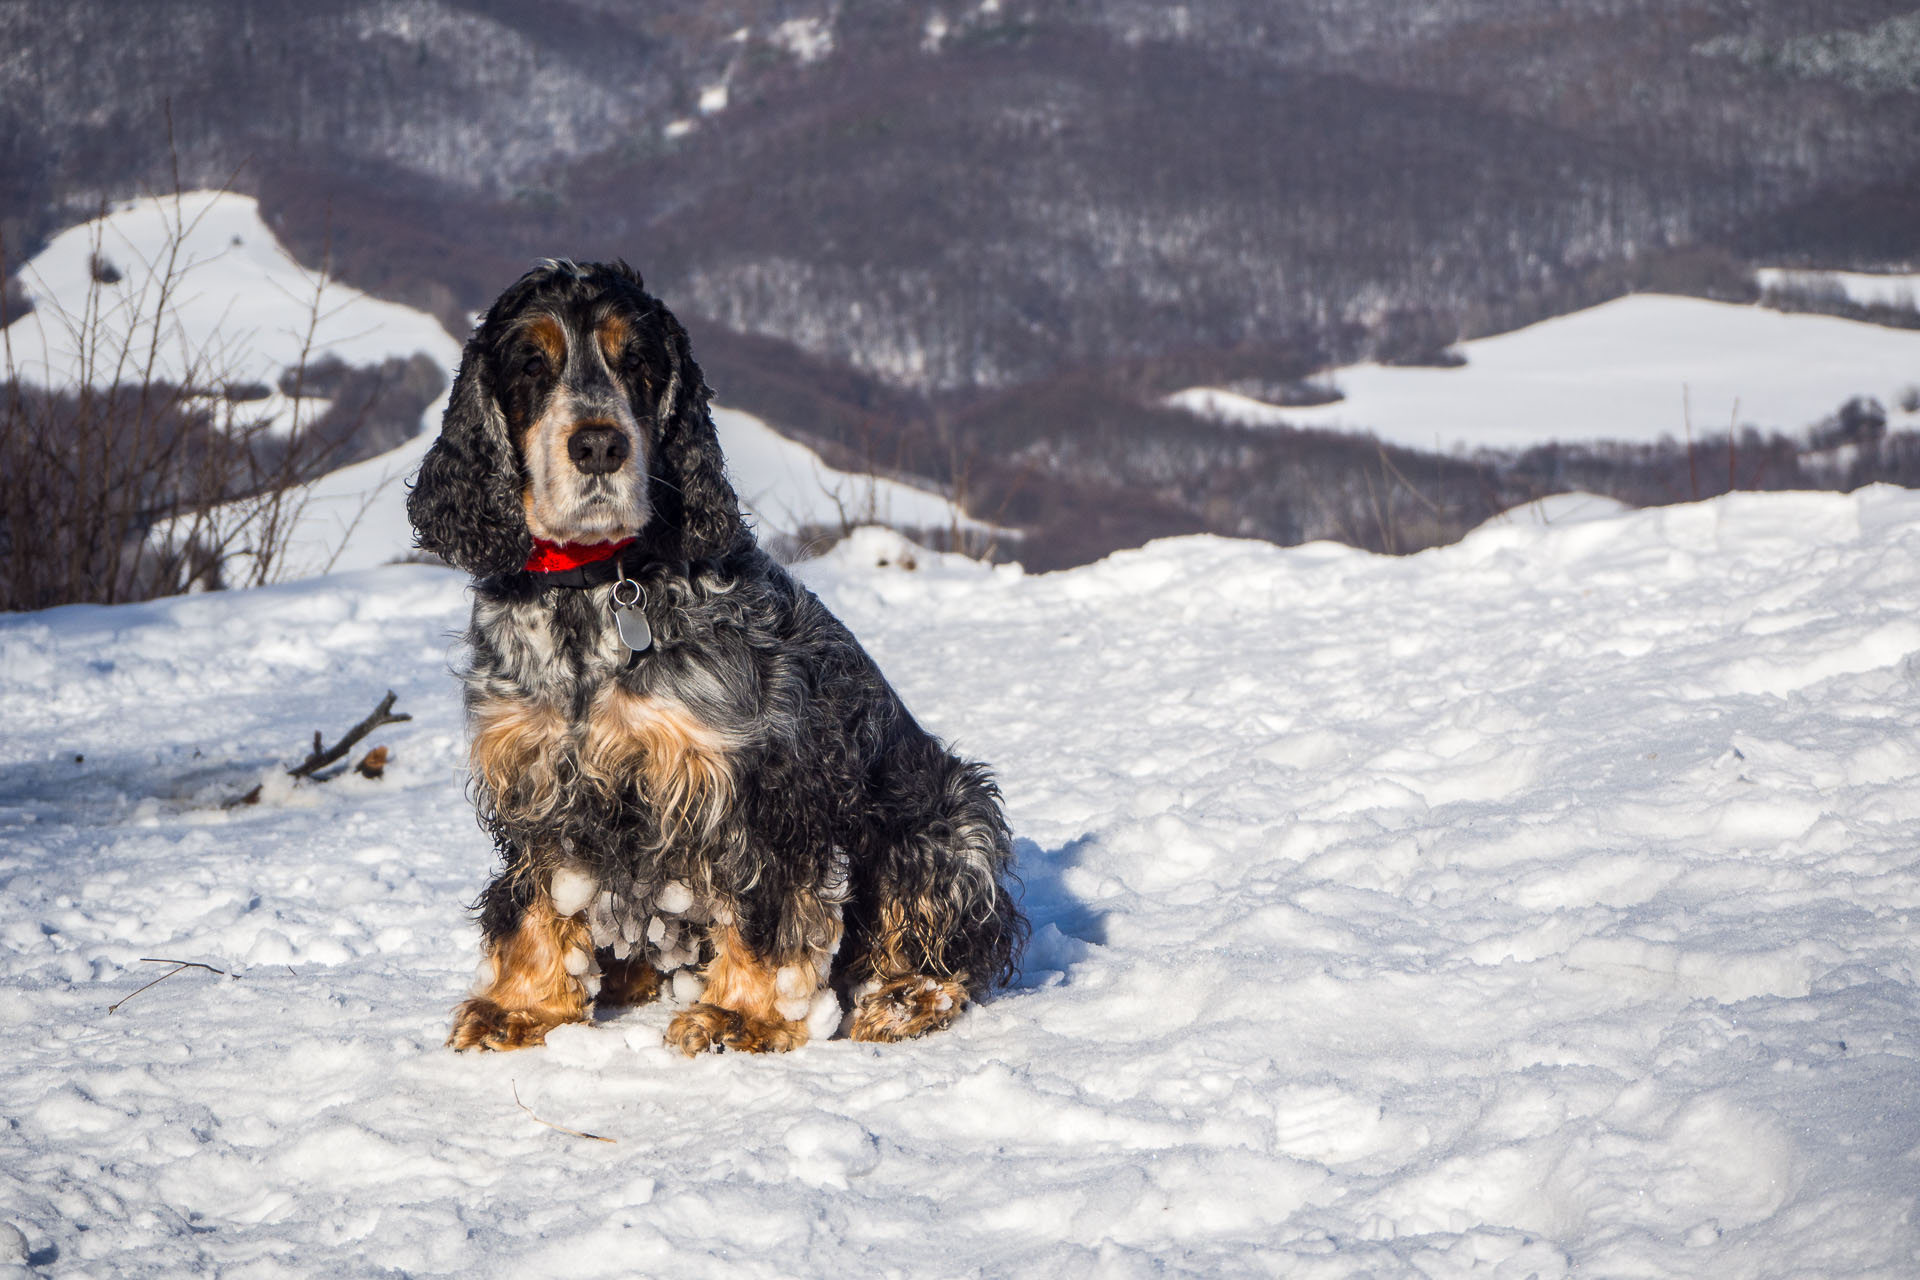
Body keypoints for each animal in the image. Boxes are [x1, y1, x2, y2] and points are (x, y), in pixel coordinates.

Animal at [405, 257, 1029, 1051]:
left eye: (638, 361)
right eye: (530, 364)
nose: (600, 445)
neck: (594, 588)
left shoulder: (754, 782)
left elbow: (766, 905)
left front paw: (743, 1015)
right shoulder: (537, 778)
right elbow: (536, 897)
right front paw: (522, 1006)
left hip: (948, 821)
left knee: (953, 945)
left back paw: (903, 1000)